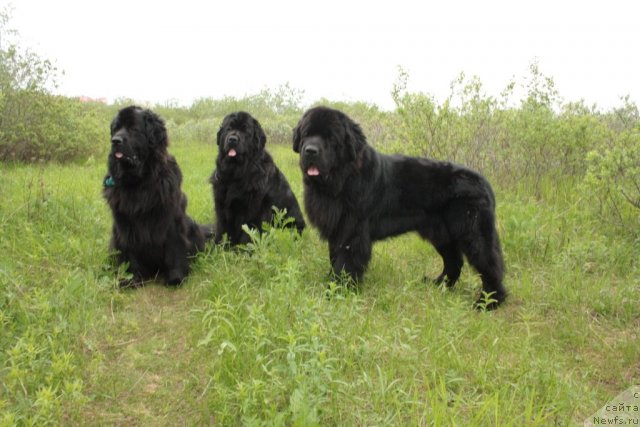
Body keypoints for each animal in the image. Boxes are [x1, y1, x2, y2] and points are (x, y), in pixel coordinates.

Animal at [102, 106, 211, 288]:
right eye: (116, 129)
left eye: (133, 129)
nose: (115, 141)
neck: (139, 182)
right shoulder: (125, 224)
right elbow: (130, 249)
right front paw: (132, 278)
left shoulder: (171, 219)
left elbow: (174, 247)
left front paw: (176, 277)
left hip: (192, 226)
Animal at [211, 110, 306, 246]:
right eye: (229, 128)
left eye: (245, 131)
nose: (232, 139)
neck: (236, 173)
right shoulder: (221, 205)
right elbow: (222, 229)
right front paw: (218, 247)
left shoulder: (253, 210)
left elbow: (248, 233)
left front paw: (242, 250)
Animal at [292, 105, 508, 310]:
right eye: (306, 134)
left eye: (330, 137)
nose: (310, 150)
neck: (342, 180)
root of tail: (484, 183)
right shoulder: (337, 230)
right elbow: (334, 258)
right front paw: (331, 281)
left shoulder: (352, 232)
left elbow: (345, 263)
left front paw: (336, 291)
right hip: (442, 233)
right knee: (454, 262)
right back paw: (439, 284)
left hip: (473, 232)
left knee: (490, 264)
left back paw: (489, 302)